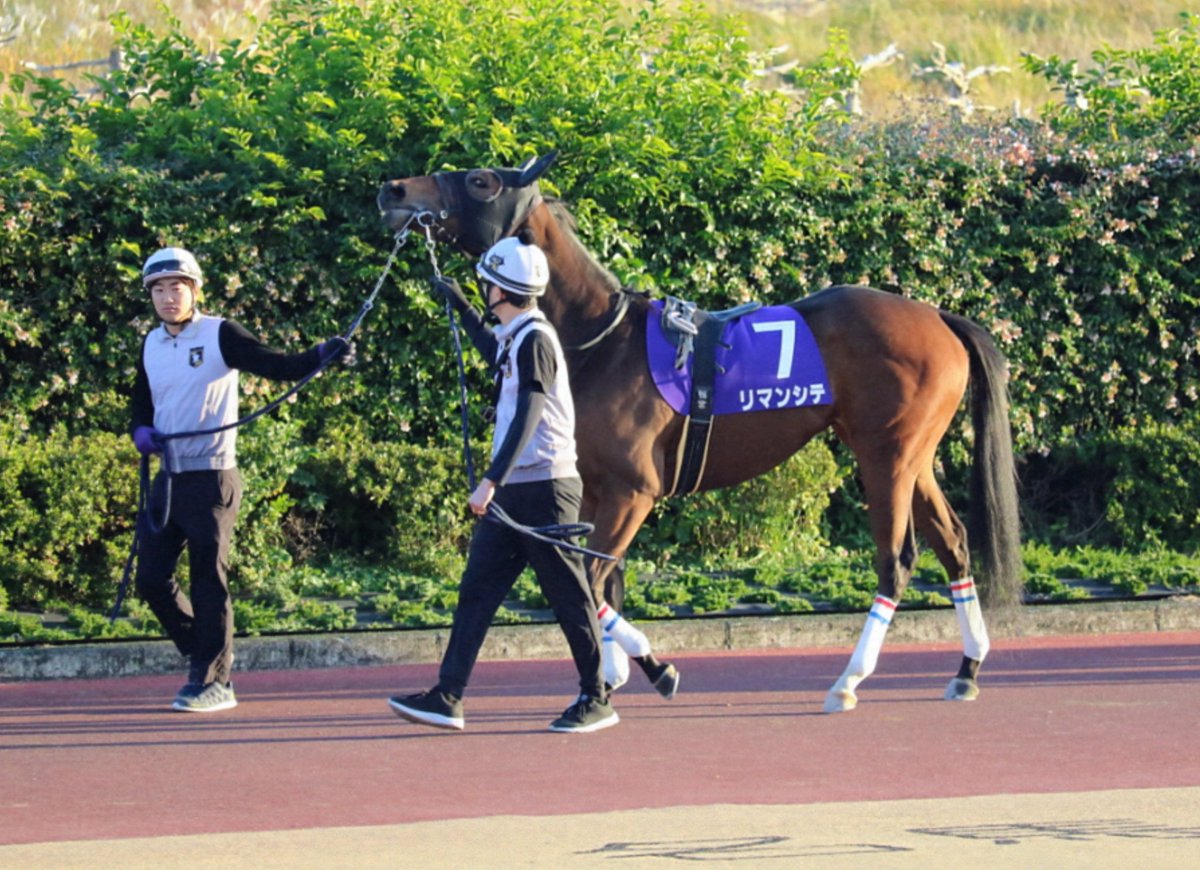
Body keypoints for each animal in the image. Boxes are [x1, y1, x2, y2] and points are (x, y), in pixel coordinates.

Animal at [377, 153, 1023, 713]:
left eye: (481, 179)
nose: (395, 191)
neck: (601, 339)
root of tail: (939, 316)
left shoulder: (632, 491)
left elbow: (592, 579)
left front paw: (644, 670)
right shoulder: (594, 489)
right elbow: (598, 581)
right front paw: (617, 672)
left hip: (885, 455)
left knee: (897, 559)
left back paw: (848, 681)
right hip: (915, 457)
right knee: (954, 542)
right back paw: (967, 668)